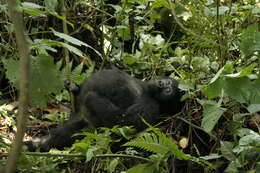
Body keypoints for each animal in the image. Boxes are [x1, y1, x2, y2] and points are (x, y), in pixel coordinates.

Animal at [24, 67, 183, 151]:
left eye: (169, 90)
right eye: (167, 82)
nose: (164, 84)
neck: (147, 89)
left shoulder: (150, 105)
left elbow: (123, 122)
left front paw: (89, 96)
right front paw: (75, 88)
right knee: (63, 133)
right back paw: (36, 144)